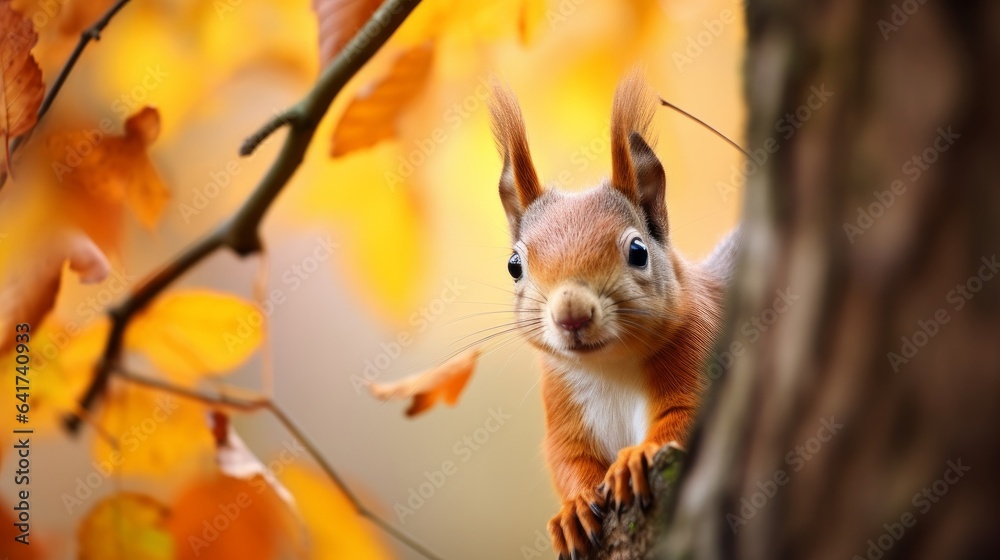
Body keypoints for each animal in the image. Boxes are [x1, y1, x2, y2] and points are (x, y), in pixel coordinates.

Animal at [488, 71, 739, 559]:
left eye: (638, 251)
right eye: (513, 265)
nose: (571, 315)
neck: (610, 367)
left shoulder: (701, 345)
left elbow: (684, 417)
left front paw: (635, 459)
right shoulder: (563, 402)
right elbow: (569, 459)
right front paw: (573, 510)